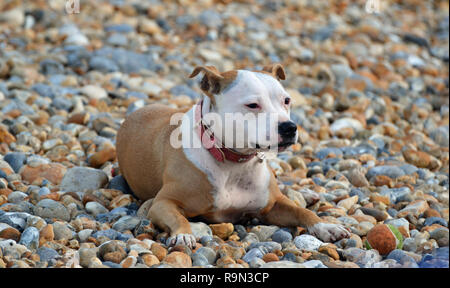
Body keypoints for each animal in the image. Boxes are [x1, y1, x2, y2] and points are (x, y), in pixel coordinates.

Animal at [117, 63, 352, 248]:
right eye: (252, 105)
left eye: (286, 100)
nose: (289, 127)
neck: (234, 161)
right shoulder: (163, 203)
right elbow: (178, 218)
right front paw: (184, 235)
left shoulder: (272, 205)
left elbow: (303, 213)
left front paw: (326, 225)